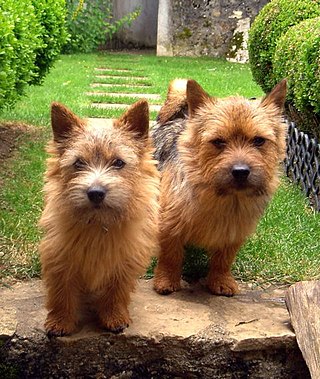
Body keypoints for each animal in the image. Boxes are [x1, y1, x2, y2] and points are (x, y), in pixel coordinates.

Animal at [39, 99, 159, 336]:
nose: (95, 192)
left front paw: (114, 316)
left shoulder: (124, 262)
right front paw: (60, 321)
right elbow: (61, 292)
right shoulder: (60, 257)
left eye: (119, 162)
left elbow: (116, 291)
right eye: (78, 163)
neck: (98, 224)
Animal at [152, 78, 288, 296]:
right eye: (218, 141)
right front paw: (166, 280)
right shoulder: (169, 224)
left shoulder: (234, 231)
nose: (241, 171)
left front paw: (220, 280)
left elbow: (223, 260)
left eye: (259, 140)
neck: (224, 197)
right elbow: (170, 256)